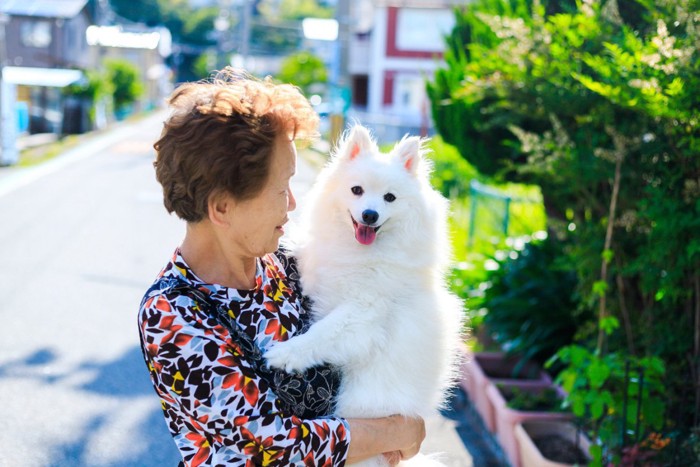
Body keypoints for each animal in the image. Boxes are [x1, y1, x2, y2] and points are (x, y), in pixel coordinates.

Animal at [266, 126, 464, 466]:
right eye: (356, 190)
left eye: (390, 198)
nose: (370, 215)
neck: (362, 253)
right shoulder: (320, 275)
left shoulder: (364, 313)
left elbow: (323, 332)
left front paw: (286, 354)